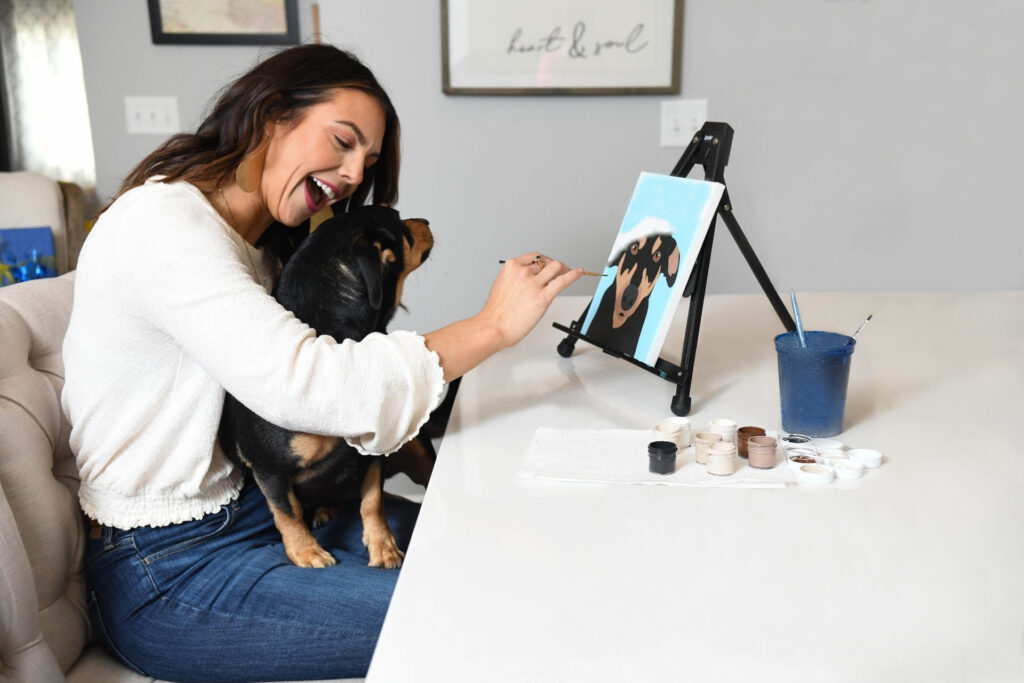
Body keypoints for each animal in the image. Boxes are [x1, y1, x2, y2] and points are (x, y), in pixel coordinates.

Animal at [220, 205, 432, 569]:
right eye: (399, 221)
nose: (427, 222)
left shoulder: (373, 454)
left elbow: (372, 500)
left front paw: (383, 546)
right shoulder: (269, 468)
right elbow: (288, 512)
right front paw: (306, 552)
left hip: (417, 450)